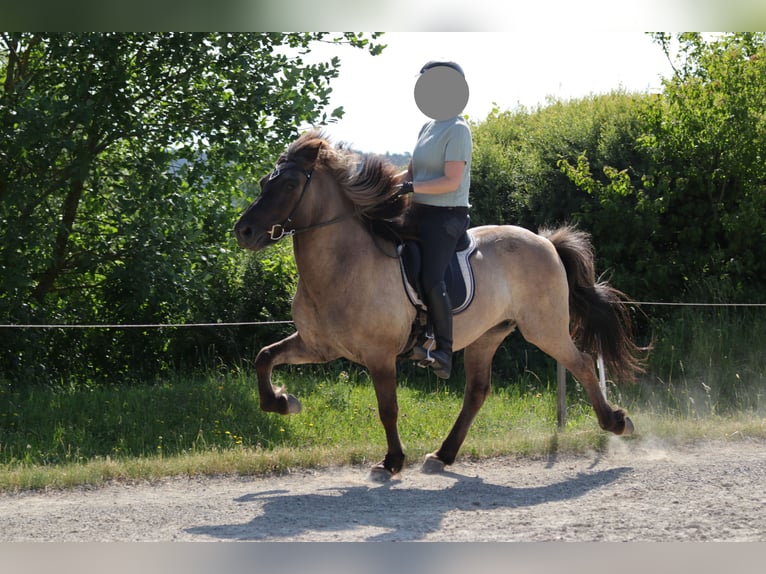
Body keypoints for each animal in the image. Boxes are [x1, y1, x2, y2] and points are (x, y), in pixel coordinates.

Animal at [236, 129, 648, 482]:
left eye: (290, 185)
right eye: (264, 182)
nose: (244, 232)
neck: (342, 264)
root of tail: (546, 241)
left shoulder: (379, 355)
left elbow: (388, 409)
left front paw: (391, 462)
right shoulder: (318, 346)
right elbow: (264, 357)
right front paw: (284, 402)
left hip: (544, 329)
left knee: (581, 364)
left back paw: (616, 422)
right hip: (487, 335)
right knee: (477, 392)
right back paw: (442, 455)